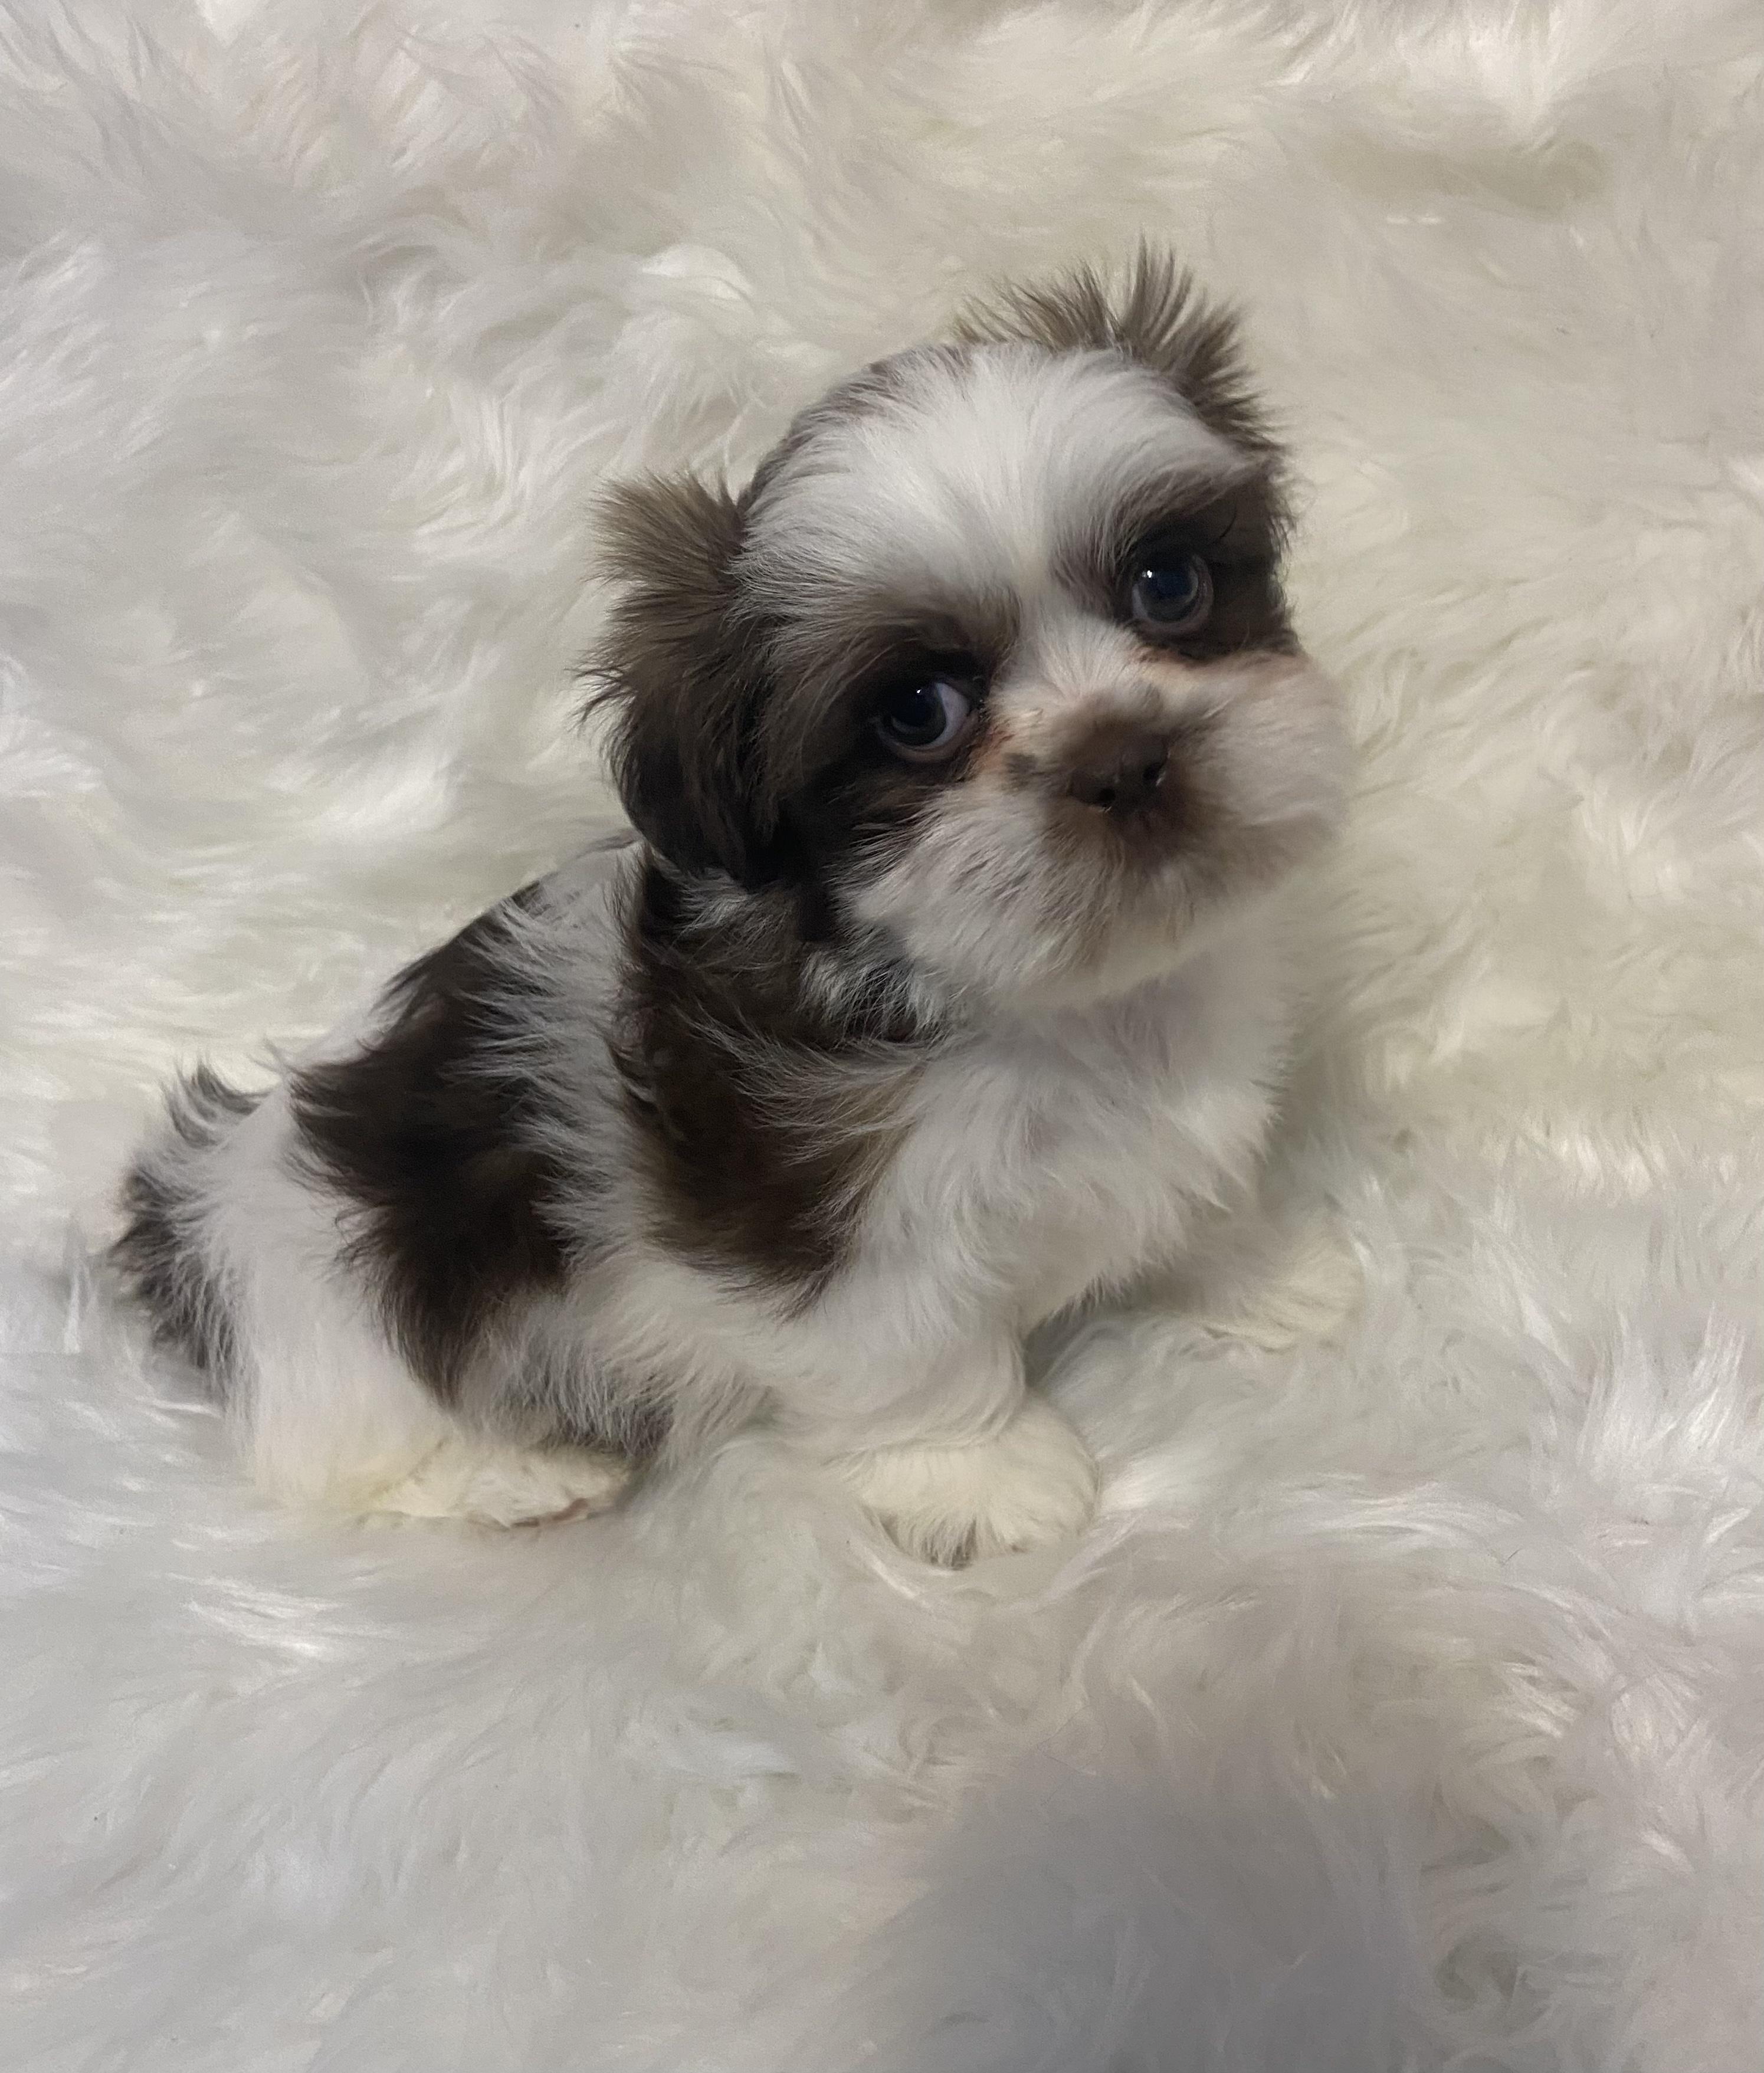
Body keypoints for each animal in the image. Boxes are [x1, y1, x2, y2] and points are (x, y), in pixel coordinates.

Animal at [114, 250, 1347, 1563]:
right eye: (919, 713)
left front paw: (1264, 1274)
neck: (1059, 1002)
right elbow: (908, 1348)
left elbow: (1204, 1196)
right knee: (340, 1451)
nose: (1122, 759)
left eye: (1170, 584)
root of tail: (190, 1210)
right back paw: (517, 1475)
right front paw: (983, 1469)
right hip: (345, 1295)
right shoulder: (836, 1223)